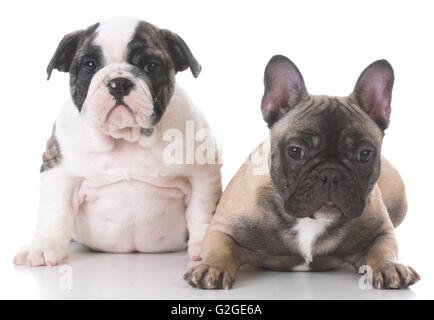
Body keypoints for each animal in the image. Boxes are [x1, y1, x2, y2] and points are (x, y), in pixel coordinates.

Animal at [13, 18, 224, 268]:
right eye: (90, 65)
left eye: (151, 66)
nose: (119, 83)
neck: (125, 138)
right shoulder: (58, 169)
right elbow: (55, 212)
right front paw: (44, 246)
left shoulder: (202, 171)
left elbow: (202, 210)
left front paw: (205, 243)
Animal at [186, 55, 420, 290]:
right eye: (295, 151)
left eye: (365, 154)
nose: (330, 175)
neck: (310, 221)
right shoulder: (223, 229)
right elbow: (220, 249)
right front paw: (211, 268)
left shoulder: (381, 233)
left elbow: (383, 249)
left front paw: (391, 267)